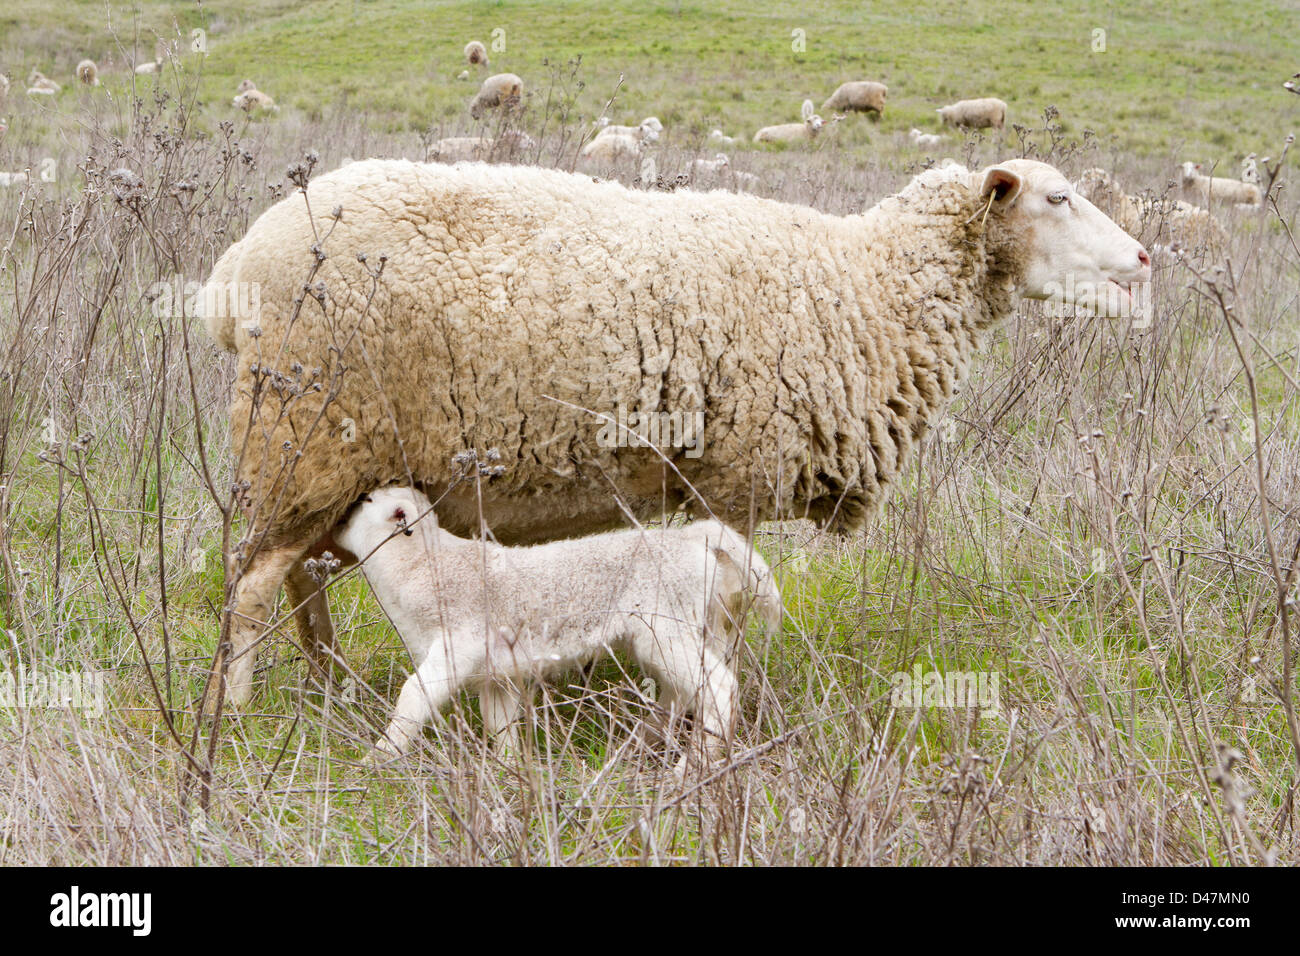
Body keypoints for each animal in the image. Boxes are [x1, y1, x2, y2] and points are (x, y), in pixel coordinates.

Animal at [199, 157, 1149, 709]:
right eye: (1059, 199)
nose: (1145, 259)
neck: (865, 288)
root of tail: (233, 269)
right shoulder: (735, 479)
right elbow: (721, 605)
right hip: (301, 434)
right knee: (252, 585)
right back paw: (238, 714)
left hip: (321, 458)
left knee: (302, 578)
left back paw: (327, 685)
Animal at [337, 486, 780, 768]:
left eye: (368, 500)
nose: (339, 515)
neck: (418, 565)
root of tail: (693, 539)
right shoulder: (497, 671)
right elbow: (500, 722)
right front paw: (510, 768)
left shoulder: (457, 643)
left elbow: (414, 696)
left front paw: (377, 758)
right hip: (692, 629)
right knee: (684, 693)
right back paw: (640, 744)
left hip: (668, 629)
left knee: (718, 688)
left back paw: (692, 766)